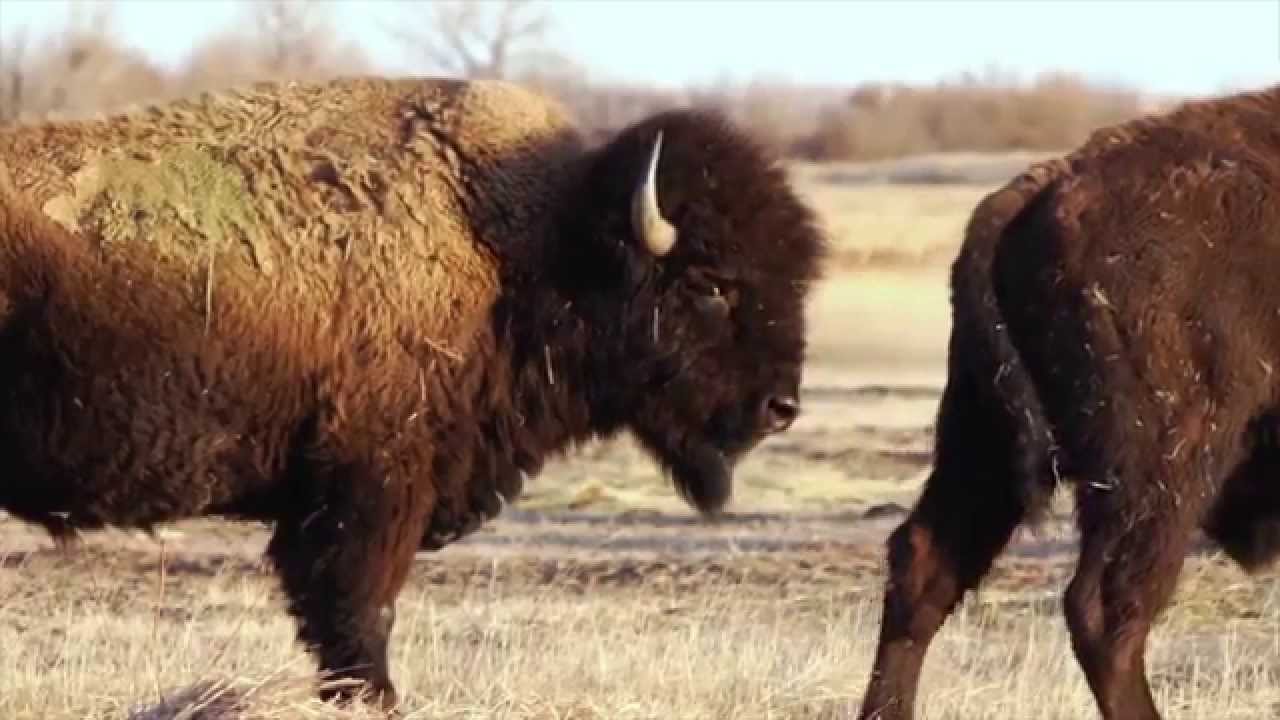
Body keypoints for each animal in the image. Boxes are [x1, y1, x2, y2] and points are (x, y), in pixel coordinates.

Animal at [0, 76, 827, 709]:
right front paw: (376, 697)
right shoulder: (370, 489)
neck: (525, 246)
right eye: (711, 283)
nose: (781, 407)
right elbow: (360, 610)